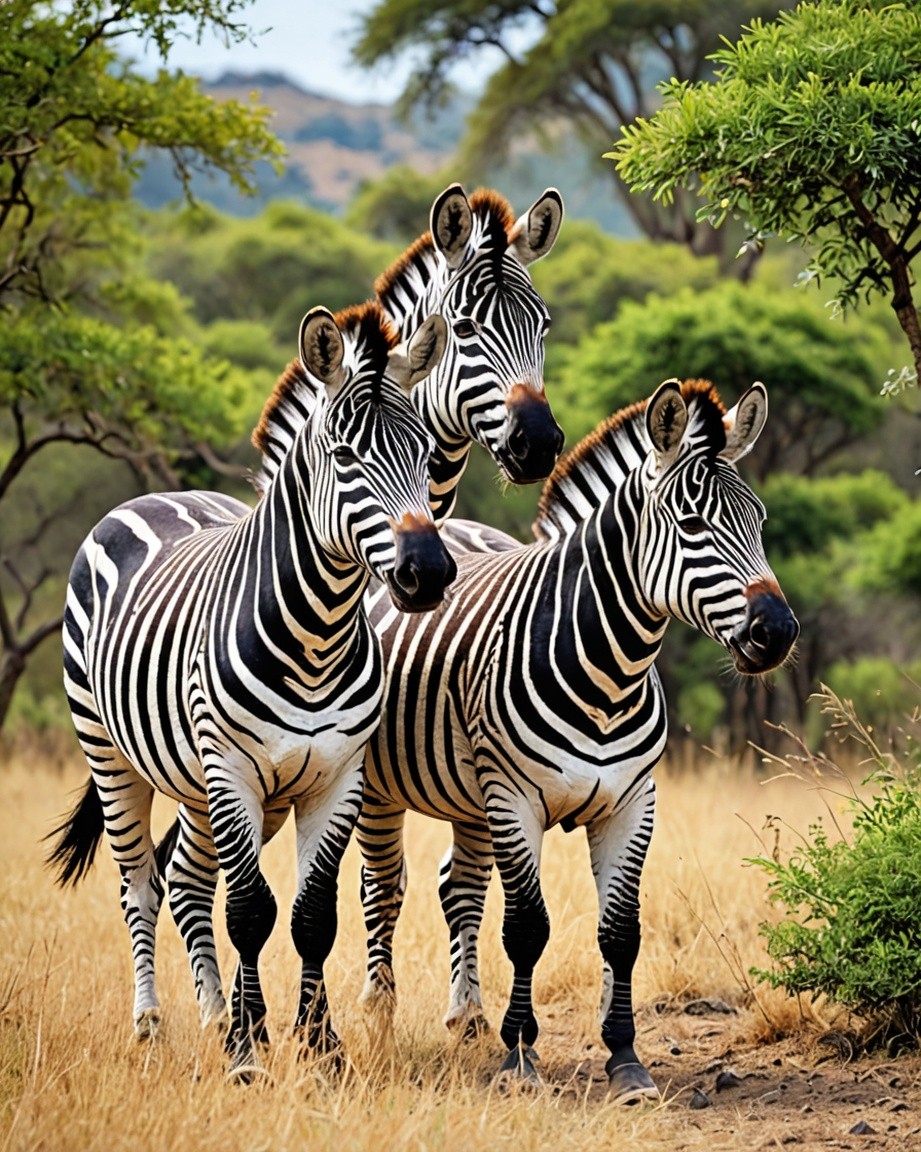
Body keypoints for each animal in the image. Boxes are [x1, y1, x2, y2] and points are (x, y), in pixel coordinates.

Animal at [46, 302, 456, 1074]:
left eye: (425, 457)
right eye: (345, 458)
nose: (428, 573)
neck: (316, 636)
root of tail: (158, 494)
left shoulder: (337, 777)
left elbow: (312, 914)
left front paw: (319, 1045)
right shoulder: (233, 769)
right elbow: (251, 910)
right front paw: (248, 1054)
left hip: (202, 784)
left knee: (185, 878)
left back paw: (214, 1014)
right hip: (113, 754)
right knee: (140, 884)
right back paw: (153, 1026)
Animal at [355, 378, 799, 1102]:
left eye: (758, 522)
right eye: (691, 525)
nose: (778, 632)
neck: (608, 674)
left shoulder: (632, 804)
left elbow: (621, 932)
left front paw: (625, 1059)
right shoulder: (515, 800)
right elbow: (526, 928)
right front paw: (520, 1056)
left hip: (469, 796)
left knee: (459, 887)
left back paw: (467, 1018)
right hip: (378, 788)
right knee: (382, 889)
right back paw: (378, 1019)